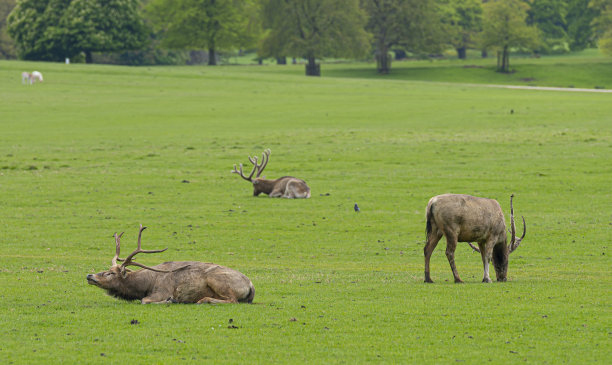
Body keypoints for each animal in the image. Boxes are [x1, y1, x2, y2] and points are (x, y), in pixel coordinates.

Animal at [86, 223, 253, 302]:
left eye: (110, 273)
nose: (89, 276)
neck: (145, 285)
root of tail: (251, 285)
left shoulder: (162, 290)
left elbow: (145, 301)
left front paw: (171, 300)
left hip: (217, 280)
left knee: (232, 300)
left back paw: (203, 300)